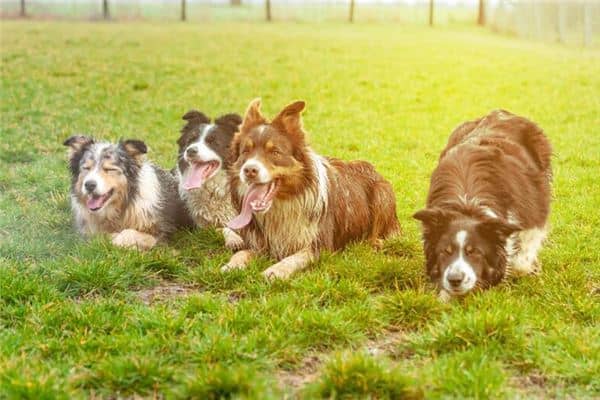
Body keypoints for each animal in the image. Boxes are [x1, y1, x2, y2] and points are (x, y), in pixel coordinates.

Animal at [176, 109, 244, 250]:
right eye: (190, 140)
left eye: (213, 142)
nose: (190, 151)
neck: (215, 192)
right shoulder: (200, 227)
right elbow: (223, 228)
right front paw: (233, 238)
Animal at [220, 98, 398, 280]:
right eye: (245, 151)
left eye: (275, 152)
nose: (249, 170)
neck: (283, 204)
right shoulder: (261, 243)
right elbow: (241, 253)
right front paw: (231, 265)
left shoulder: (320, 246)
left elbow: (294, 258)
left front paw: (275, 270)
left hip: (382, 195)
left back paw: (374, 242)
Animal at [414, 109, 552, 300]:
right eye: (445, 252)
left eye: (475, 252)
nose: (455, 280)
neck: (467, 205)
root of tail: (500, 111)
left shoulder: (533, 211)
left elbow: (522, 259)